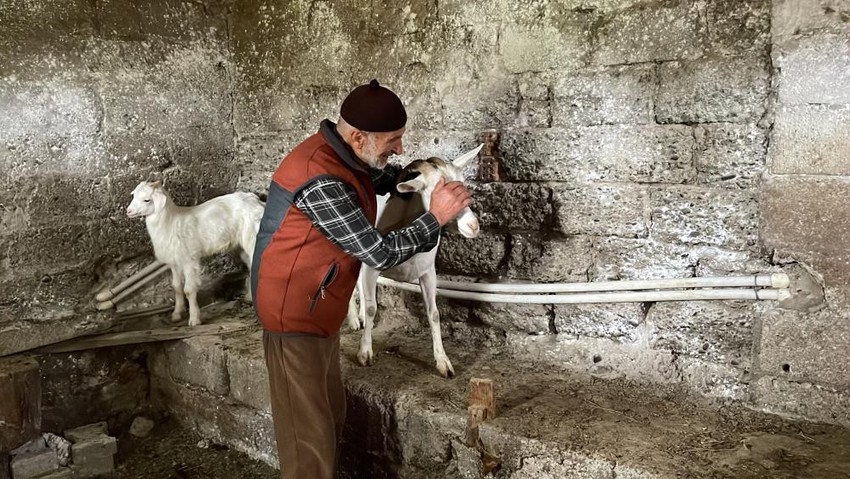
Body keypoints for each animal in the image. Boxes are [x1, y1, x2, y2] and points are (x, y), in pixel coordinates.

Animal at [126, 181, 262, 326]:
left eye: (147, 200)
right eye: (134, 195)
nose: (128, 211)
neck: (170, 223)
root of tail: (254, 200)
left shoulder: (189, 260)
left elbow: (189, 290)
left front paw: (194, 319)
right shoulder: (174, 262)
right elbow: (177, 287)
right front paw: (177, 314)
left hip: (252, 237)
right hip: (241, 246)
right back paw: (249, 298)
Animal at [348, 146, 480, 378]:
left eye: (464, 186)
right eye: (437, 192)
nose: (474, 226)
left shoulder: (428, 272)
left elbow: (434, 314)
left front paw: (443, 362)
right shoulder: (372, 266)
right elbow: (373, 308)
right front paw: (365, 353)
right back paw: (355, 320)